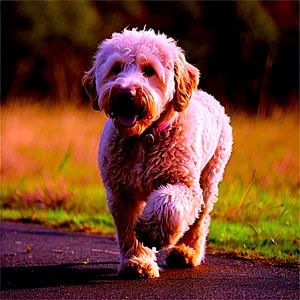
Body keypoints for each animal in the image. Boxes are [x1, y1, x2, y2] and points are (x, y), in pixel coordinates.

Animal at [83, 28, 233, 278]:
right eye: (116, 68)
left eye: (149, 70)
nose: (126, 93)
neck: (145, 138)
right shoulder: (121, 192)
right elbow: (127, 229)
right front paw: (137, 262)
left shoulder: (185, 185)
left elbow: (168, 202)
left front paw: (152, 232)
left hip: (210, 179)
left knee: (200, 220)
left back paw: (186, 252)